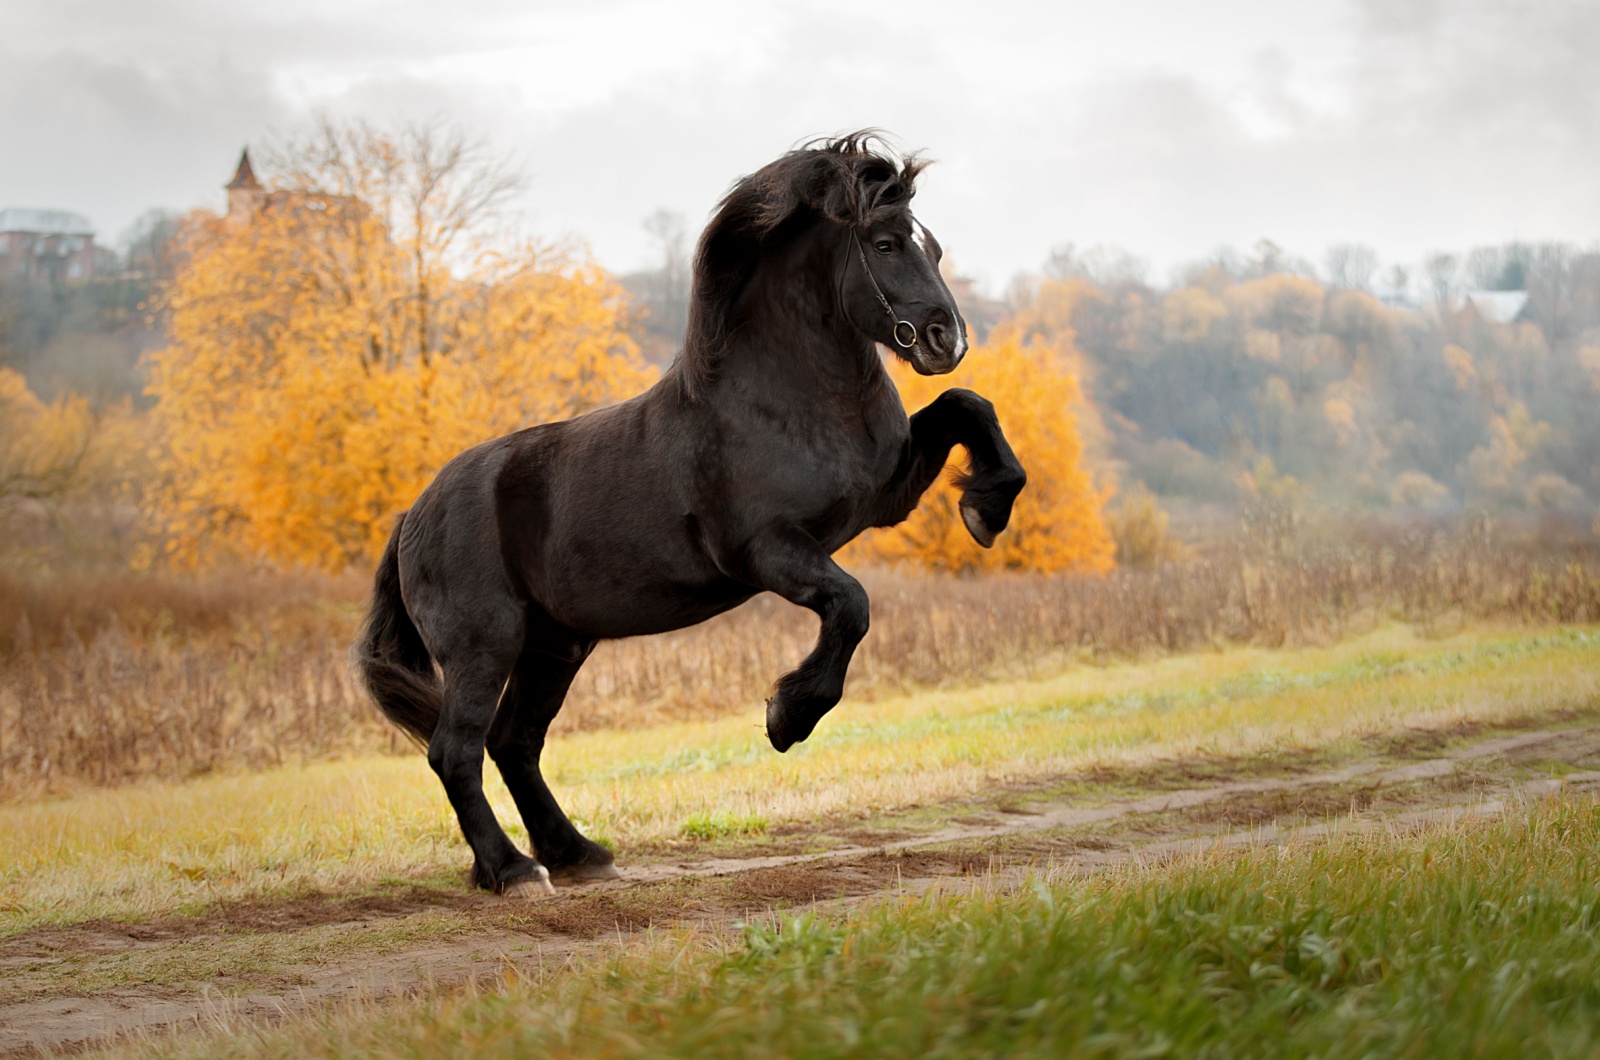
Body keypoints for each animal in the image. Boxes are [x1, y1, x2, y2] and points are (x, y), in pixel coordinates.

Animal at [358, 132, 1030, 896]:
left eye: (935, 249)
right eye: (886, 244)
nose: (949, 340)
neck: (785, 398)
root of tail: (412, 517)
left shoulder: (886, 495)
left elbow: (967, 407)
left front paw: (986, 509)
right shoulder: (767, 549)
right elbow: (852, 605)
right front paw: (787, 717)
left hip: (554, 645)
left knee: (513, 741)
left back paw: (577, 853)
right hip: (485, 644)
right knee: (456, 750)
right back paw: (514, 870)